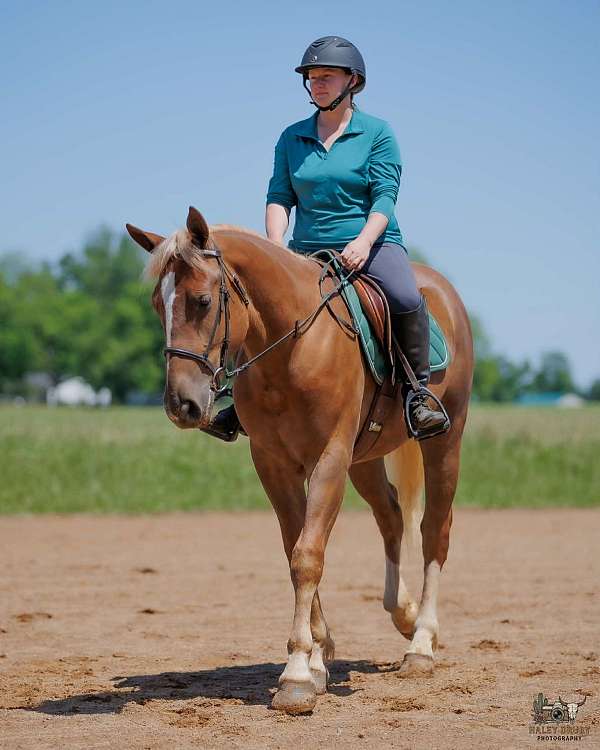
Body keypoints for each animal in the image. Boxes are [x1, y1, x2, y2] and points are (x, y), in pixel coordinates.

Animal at [126, 206, 474, 714]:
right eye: (158, 304)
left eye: (203, 301)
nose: (180, 405)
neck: (291, 348)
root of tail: (441, 289)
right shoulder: (273, 463)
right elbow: (295, 547)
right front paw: (316, 659)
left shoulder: (329, 457)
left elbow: (307, 555)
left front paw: (295, 676)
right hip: (364, 458)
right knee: (391, 516)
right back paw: (404, 614)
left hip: (443, 443)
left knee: (435, 531)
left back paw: (422, 643)